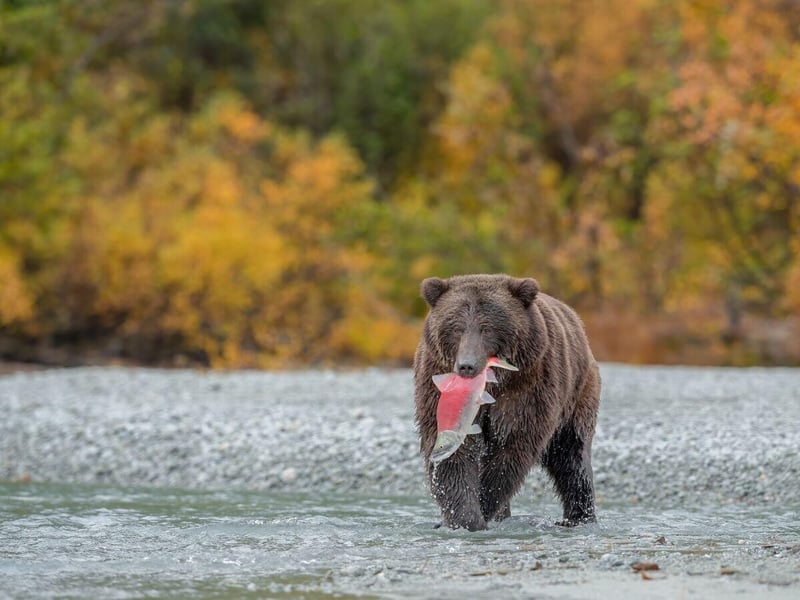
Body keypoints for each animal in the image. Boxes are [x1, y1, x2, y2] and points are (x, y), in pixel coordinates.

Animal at [413, 273, 600, 531]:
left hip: (577, 396)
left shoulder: (528, 388)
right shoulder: (437, 385)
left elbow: (512, 449)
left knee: (572, 459)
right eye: (456, 327)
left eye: (487, 328)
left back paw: (579, 517)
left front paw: (481, 507)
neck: (492, 383)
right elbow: (455, 454)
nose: (467, 365)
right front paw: (464, 517)